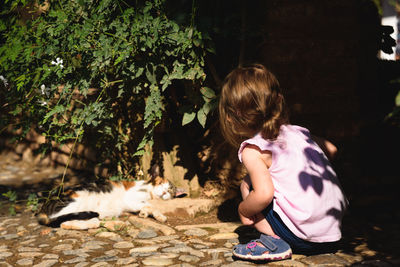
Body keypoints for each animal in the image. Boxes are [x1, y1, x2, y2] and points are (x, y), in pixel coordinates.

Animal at [36, 165, 183, 230]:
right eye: (160, 184)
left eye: (170, 190)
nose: (164, 192)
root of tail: (43, 207)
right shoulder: (130, 199)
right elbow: (150, 205)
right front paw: (157, 215)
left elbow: (148, 206)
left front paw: (145, 213)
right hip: (74, 201)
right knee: (59, 221)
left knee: (70, 222)